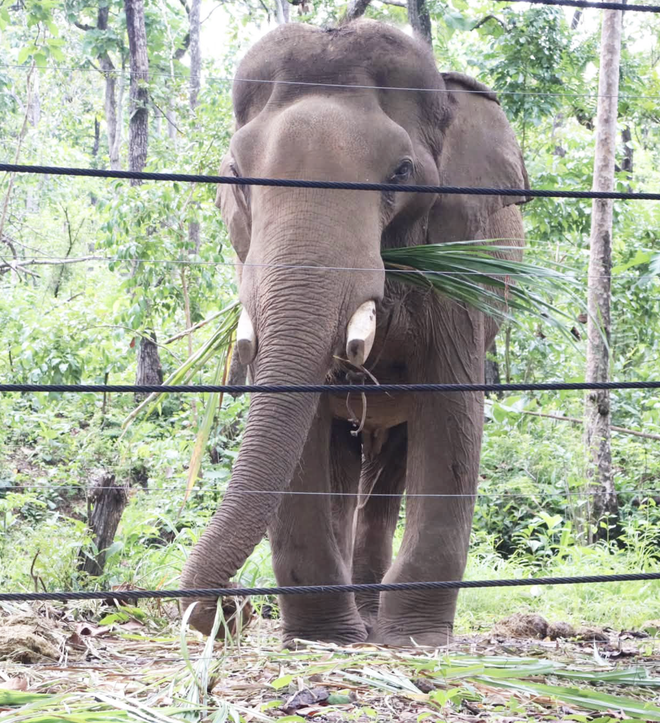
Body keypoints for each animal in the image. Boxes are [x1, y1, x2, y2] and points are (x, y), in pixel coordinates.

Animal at [180, 18, 529, 648]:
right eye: (238, 175)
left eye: (401, 172)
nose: (234, 607)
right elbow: (305, 434)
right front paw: (324, 639)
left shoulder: (459, 272)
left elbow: (453, 416)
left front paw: (414, 639)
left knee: (392, 463)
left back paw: (373, 616)